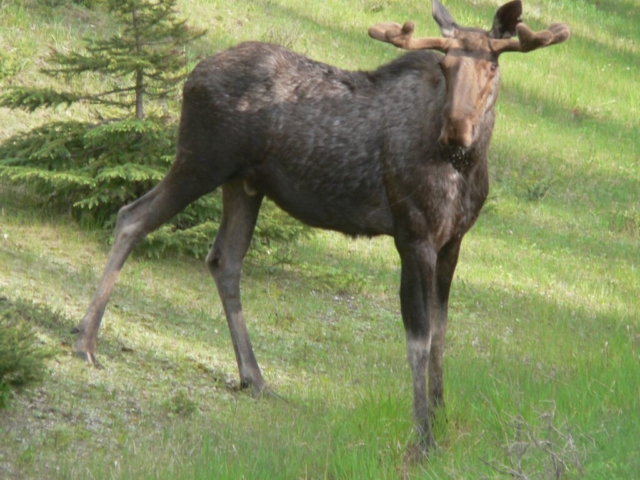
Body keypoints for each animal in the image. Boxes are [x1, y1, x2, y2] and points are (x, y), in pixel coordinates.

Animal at [74, 0, 568, 450]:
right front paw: (423, 435)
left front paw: (441, 418)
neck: (465, 169)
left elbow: (443, 333)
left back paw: (253, 376)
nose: (457, 129)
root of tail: (191, 77)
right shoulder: (413, 235)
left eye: (491, 66)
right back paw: (86, 340)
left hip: (243, 184)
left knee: (223, 259)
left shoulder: (453, 242)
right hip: (202, 161)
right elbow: (420, 338)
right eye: (445, 65)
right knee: (132, 218)